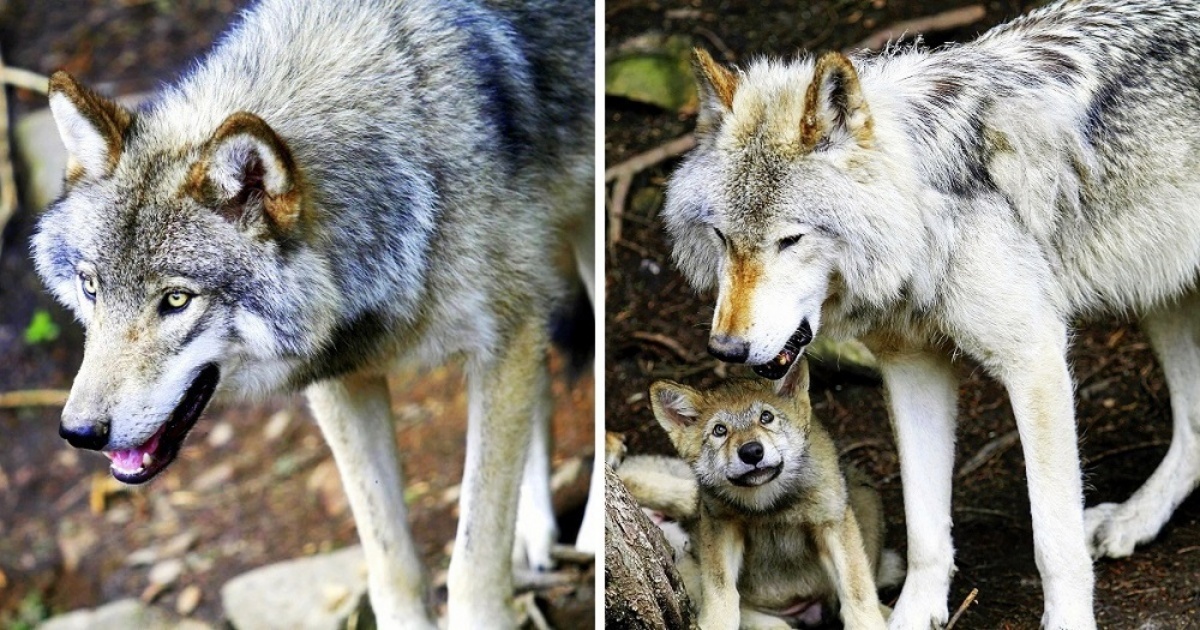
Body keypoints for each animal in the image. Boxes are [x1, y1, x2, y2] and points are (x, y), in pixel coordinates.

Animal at [35, 0, 597, 624]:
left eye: (176, 299)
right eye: (91, 287)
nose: (79, 433)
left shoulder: (504, 337)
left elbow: (474, 562)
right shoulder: (340, 379)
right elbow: (390, 560)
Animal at [648, 357, 902, 628]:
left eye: (766, 417)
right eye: (719, 430)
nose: (751, 452)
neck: (769, 505)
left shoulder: (831, 522)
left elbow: (857, 589)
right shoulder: (720, 524)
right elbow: (720, 590)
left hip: (864, 497)